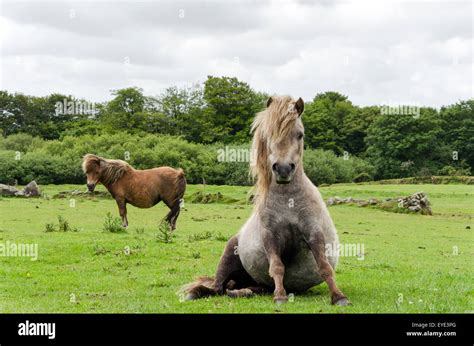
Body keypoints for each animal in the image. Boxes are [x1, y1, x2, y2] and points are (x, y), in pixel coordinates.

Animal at [180, 95, 350, 306]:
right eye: (269, 134)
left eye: (300, 134)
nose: (283, 169)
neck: (288, 200)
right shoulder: (270, 236)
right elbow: (277, 267)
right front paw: (280, 296)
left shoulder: (314, 233)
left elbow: (324, 266)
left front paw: (339, 297)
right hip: (229, 254)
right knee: (217, 288)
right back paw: (195, 293)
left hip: (255, 282)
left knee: (245, 289)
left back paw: (240, 292)